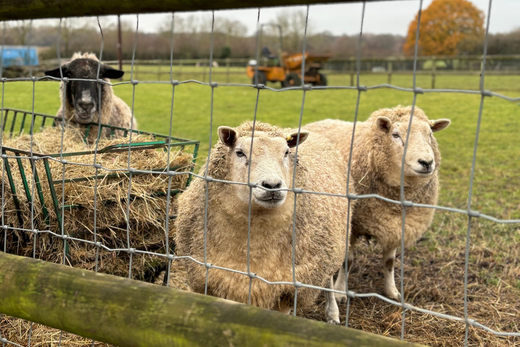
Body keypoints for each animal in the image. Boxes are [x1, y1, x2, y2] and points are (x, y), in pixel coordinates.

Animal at [177, 121, 356, 324]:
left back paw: (332, 313)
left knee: (328, 279)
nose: (272, 185)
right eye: (240, 152)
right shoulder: (207, 278)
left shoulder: (287, 290)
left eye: (286, 152)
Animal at [306, 106, 448, 302]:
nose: (426, 162)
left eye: (430, 134)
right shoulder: (353, 224)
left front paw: (392, 292)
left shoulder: (394, 225)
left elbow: (389, 263)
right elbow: (347, 261)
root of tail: (319, 121)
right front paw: (341, 292)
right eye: (395, 135)